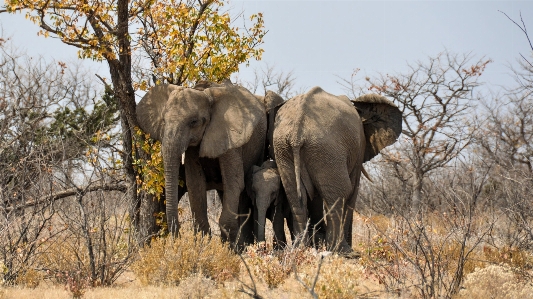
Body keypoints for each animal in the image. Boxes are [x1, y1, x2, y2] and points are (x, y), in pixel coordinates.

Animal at [137, 81, 266, 247]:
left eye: (194, 122)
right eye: (163, 121)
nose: (177, 239)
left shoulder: (231, 139)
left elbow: (234, 183)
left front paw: (228, 250)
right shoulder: (192, 149)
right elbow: (195, 184)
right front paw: (203, 246)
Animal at [274, 88, 400, 254]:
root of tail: (296, 134)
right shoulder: (358, 147)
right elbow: (353, 190)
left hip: (285, 149)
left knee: (295, 195)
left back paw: (300, 249)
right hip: (326, 149)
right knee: (341, 192)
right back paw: (343, 251)